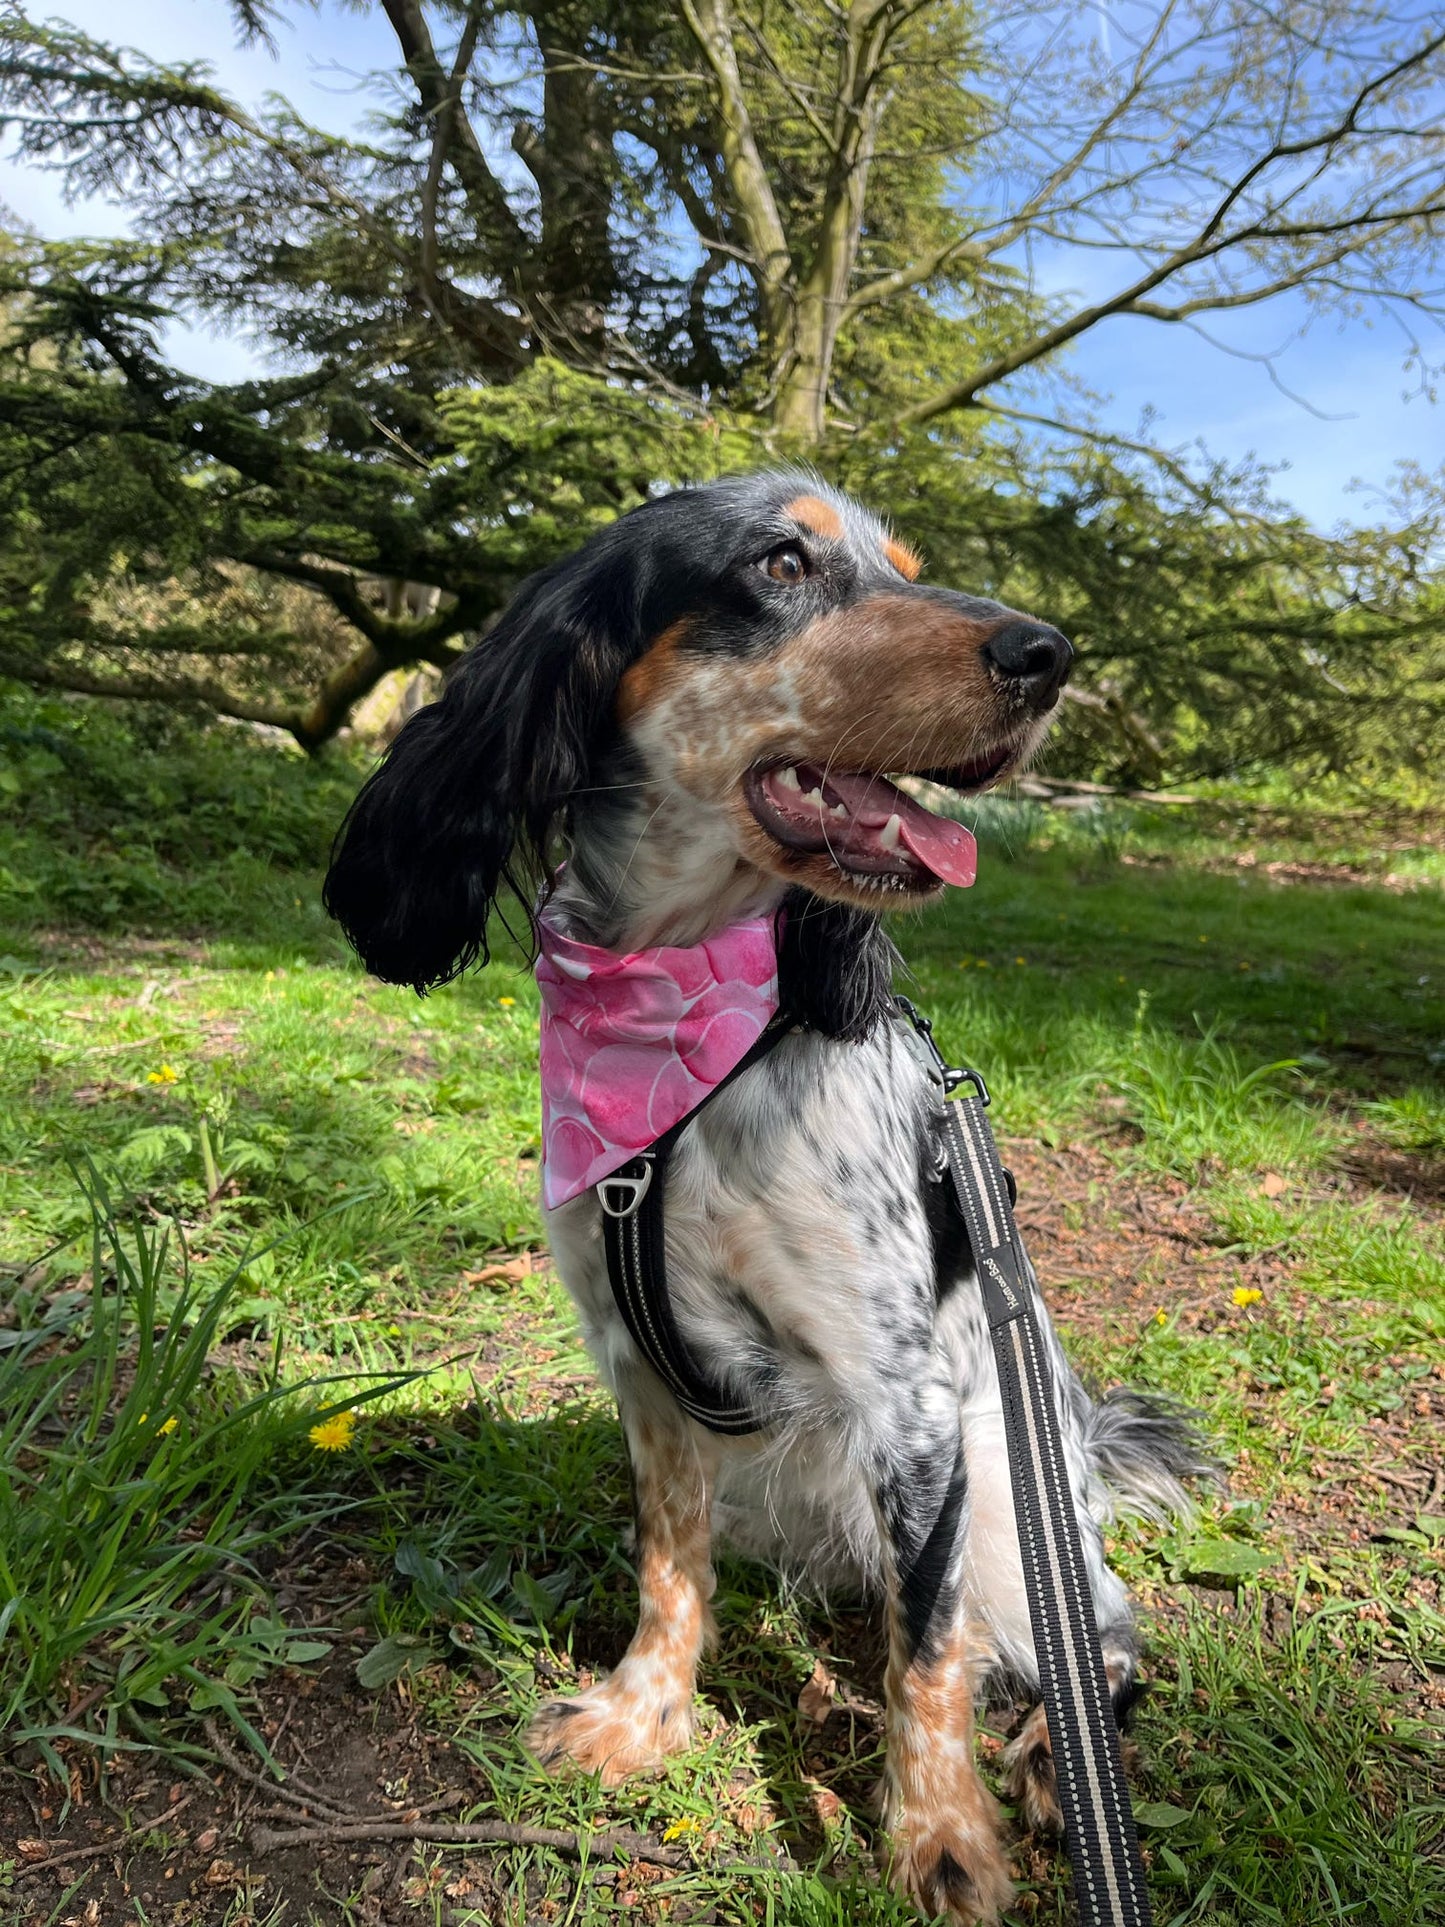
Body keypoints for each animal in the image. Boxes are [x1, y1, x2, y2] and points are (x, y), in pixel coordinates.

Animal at [325, 474, 1209, 1919]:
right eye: (782, 563)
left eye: (903, 564)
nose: (1049, 653)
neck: (685, 1039)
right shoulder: (644, 1372)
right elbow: (668, 1564)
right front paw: (642, 1713)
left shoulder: (907, 1401)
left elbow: (927, 1655)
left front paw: (939, 1837)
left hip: (1012, 1513)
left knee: (1088, 1638)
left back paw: (1040, 1749)